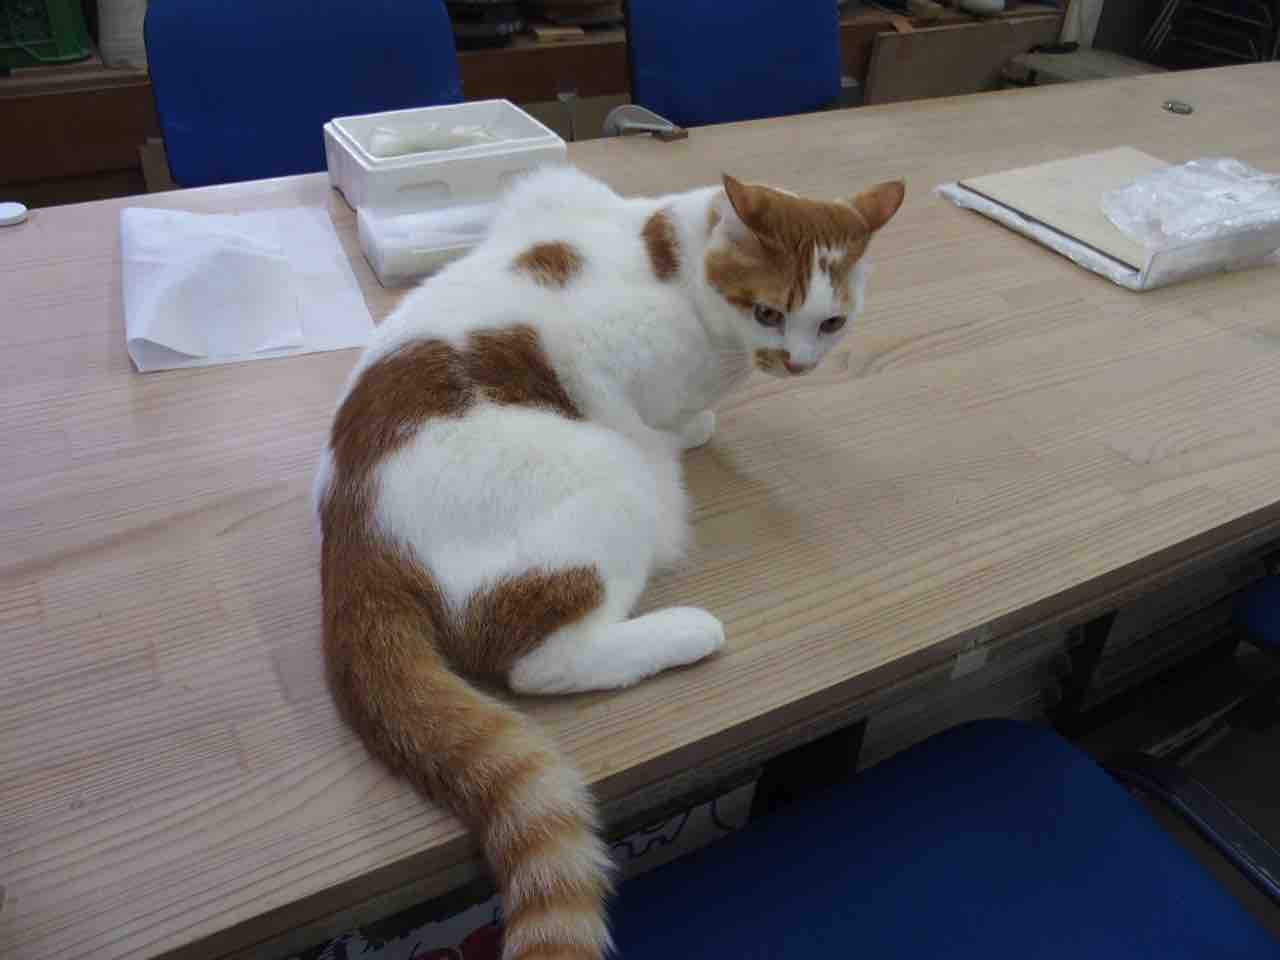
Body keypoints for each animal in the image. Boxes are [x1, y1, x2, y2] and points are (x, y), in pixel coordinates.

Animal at [315, 165, 903, 960]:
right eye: (769, 313)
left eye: (832, 323)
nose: (798, 362)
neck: (679, 267)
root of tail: (353, 530)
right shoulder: (600, 353)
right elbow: (649, 412)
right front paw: (687, 428)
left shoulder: (547, 189)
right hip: (607, 476)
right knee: (539, 664)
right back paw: (685, 631)